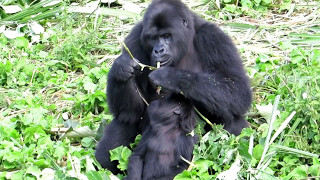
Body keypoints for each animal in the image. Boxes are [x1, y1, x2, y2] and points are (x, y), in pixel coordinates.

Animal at [95, 0, 252, 175]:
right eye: (153, 38)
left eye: (166, 36)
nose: (158, 50)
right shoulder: (135, 39)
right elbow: (131, 111)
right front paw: (120, 69)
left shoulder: (214, 38)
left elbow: (238, 90)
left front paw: (170, 77)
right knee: (123, 123)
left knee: (233, 120)